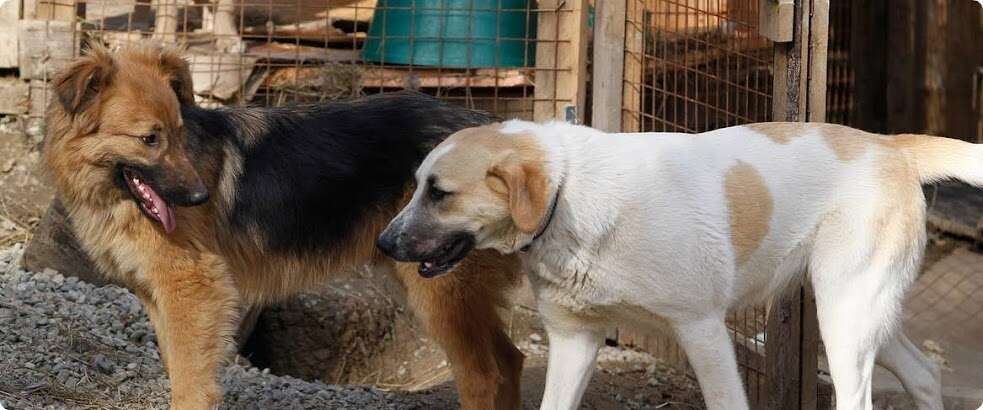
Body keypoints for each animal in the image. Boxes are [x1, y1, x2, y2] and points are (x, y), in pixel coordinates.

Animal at [41, 43, 524, 408]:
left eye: (178, 134)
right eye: (150, 140)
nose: (200, 197)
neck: (110, 192)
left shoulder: (193, 287)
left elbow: (190, 378)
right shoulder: (159, 294)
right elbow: (179, 365)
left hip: (440, 291)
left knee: (483, 375)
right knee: (510, 361)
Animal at [378, 120, 968, 408]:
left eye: (439, 193)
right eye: (417, 186)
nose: (383, 243)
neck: (570, 194)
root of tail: (889, 144)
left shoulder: (702, 330)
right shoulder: (574, 340)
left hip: (844, 316)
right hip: (857, 312)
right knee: (924, 373)